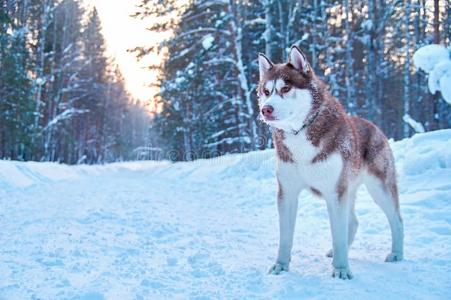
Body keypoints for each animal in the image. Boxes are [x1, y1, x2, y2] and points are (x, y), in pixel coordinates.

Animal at [258, 46, 406, 278]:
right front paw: (281, 265)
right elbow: (285, 237)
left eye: (286, 88)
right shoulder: (288, 192)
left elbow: (338, 234)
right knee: (353, 221)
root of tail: (373, 125)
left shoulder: (334, 193)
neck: (301, 132)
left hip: (379, 188)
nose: (266, 109)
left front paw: (342, 268)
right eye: (266, 92)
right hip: (350, 188)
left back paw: (397, 253)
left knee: (397, 220)